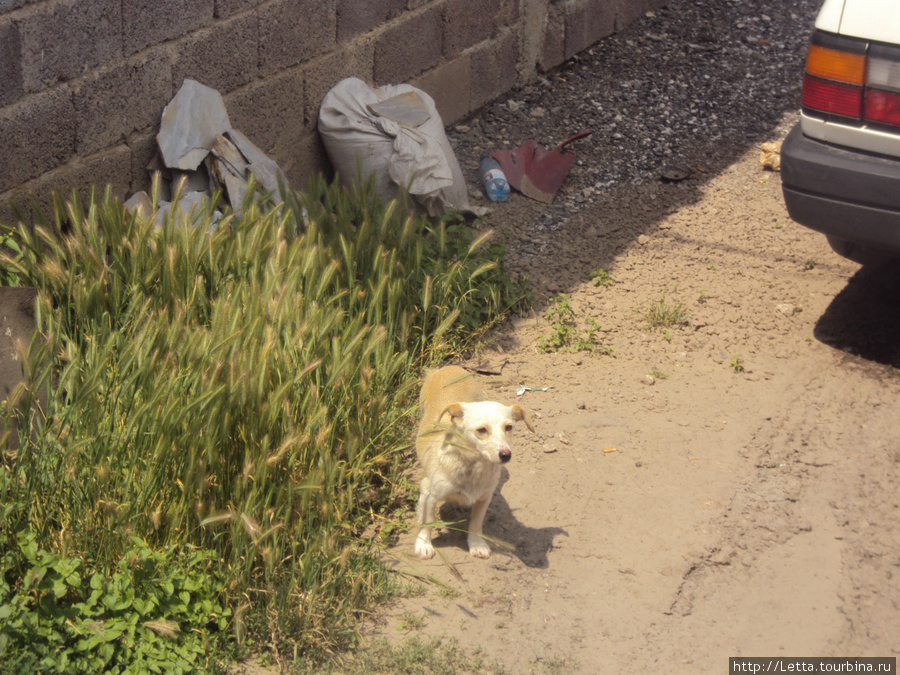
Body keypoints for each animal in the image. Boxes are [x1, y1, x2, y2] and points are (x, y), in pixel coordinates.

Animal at [414, 364, 536, 560]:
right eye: (481, 430)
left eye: (509, 427)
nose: (506, 455)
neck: (473, 466)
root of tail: (448, 366)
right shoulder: (429, 493)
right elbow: (428, 520)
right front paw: (424, 543)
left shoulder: (484, 498)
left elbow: (476, 523)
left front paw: (477, 544)